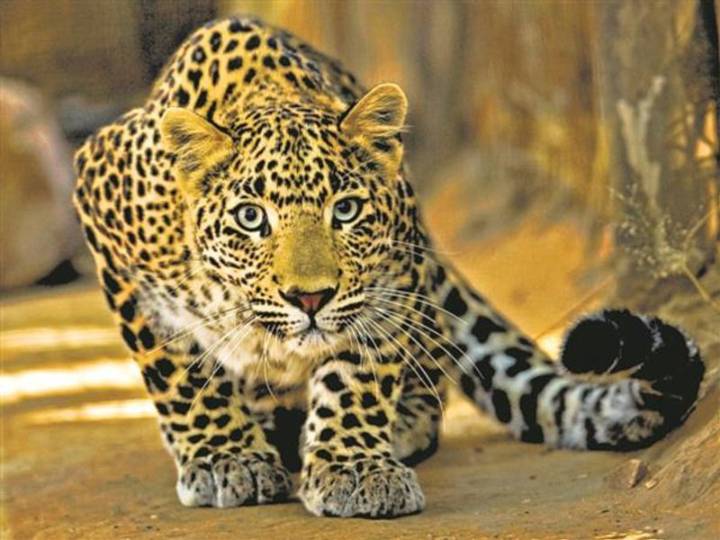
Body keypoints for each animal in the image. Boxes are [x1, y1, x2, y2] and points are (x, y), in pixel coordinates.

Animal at [73, 16, 705, 518]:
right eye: (251, 218)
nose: (310, 299)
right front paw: (226, 458)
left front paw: (353, 467)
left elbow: (358, 373)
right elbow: (178, 371)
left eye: (346, 210)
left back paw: (392, 425)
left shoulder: (390, 278)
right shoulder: (103, 210)